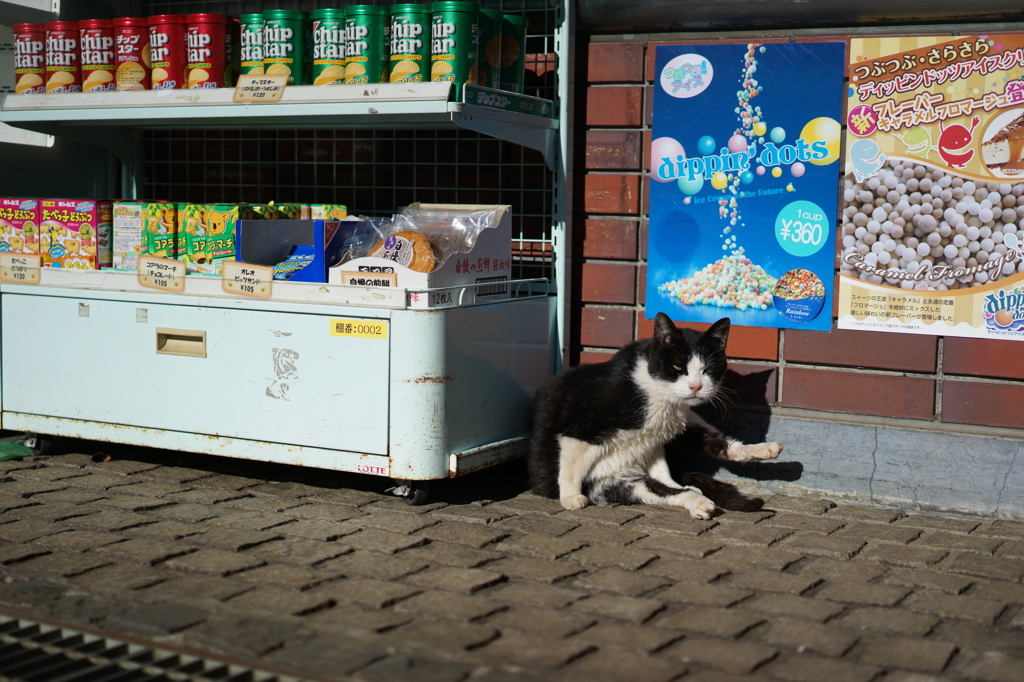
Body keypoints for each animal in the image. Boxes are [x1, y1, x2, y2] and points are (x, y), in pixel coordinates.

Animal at [532, 311, 778, 516]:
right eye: (678, 367)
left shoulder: (659, 433)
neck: (658, 393)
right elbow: (572, 462)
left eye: (708, 370)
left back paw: (761, 451)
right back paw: (699, 500)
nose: (696, 387)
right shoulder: (581, 419)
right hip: (612, 480)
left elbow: (663, 469)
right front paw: (571, 496)